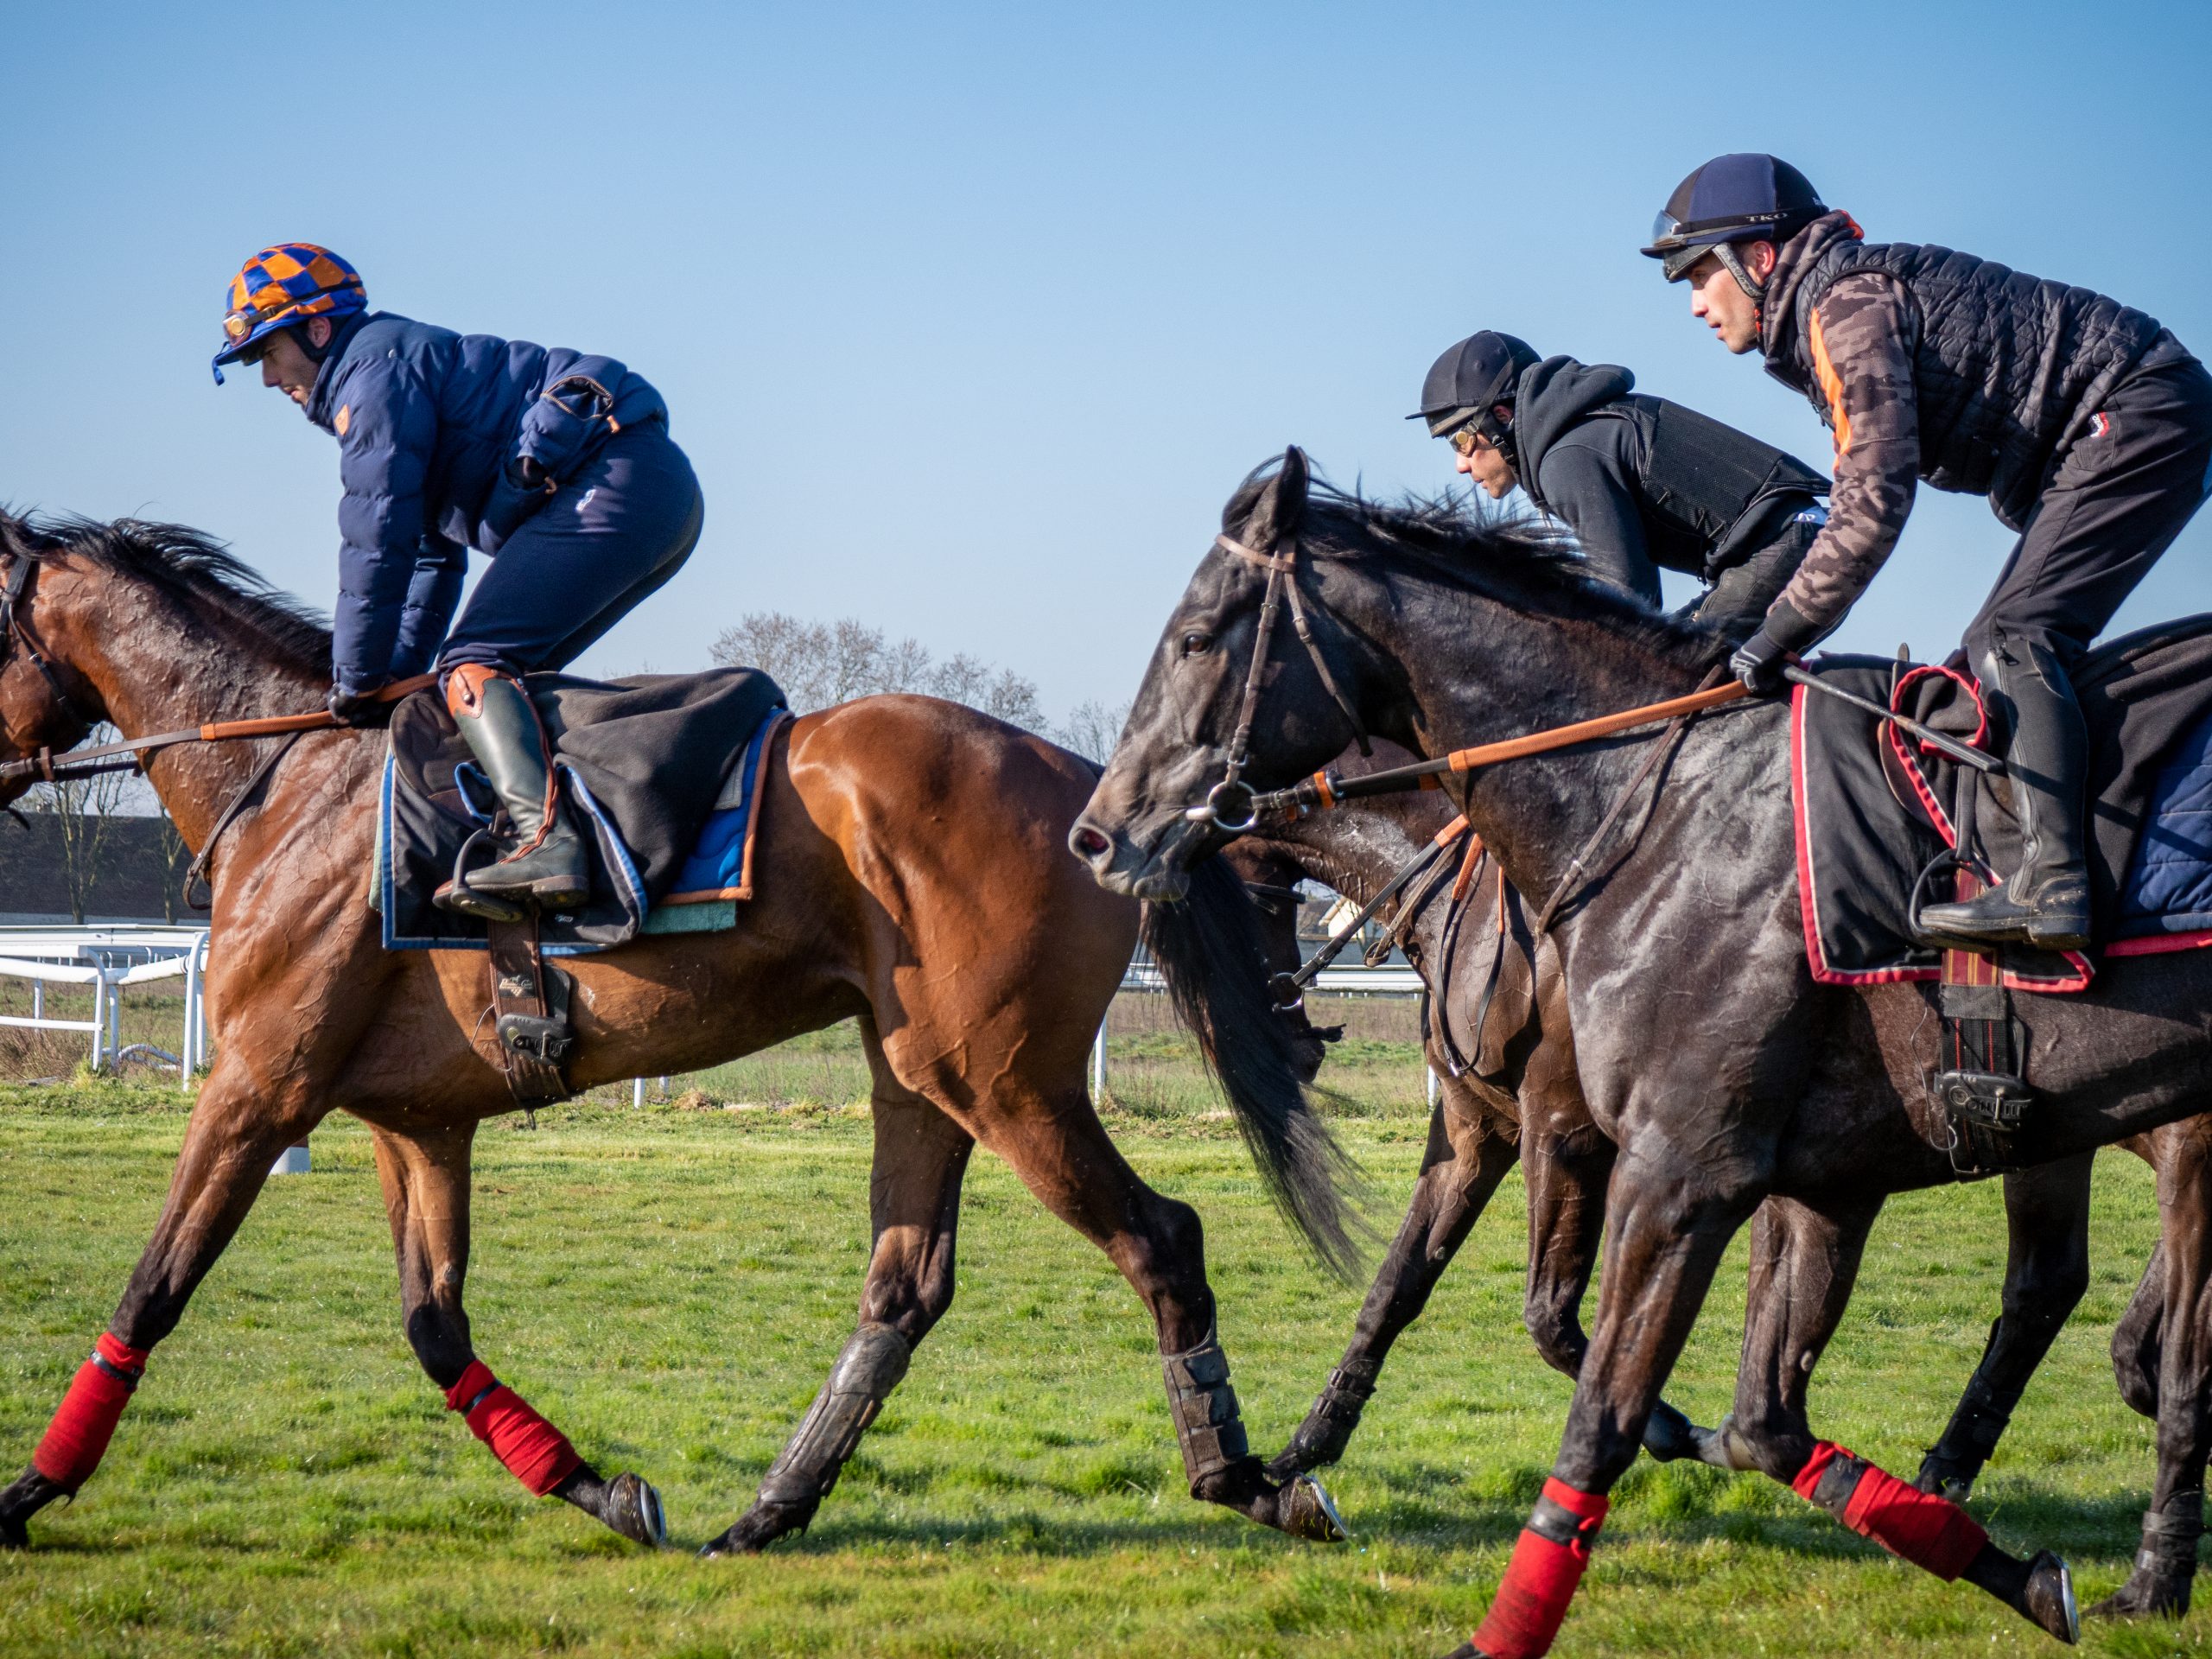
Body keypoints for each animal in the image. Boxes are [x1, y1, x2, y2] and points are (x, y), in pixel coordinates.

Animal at [0, 511, 1344, 1557]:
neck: (286, 781)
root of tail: (1093, 789)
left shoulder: (261, 1085)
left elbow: (153, 1288)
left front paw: (27, 1493)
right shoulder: (415, 1121)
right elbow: (435, 1326)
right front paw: (600, 1490)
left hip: (1009, 1080)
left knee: (1158, 1237)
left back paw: (1248, 1480)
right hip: (922, 1073)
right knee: (904, 1285)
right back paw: (769, 1510)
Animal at [1071, 448, 2212, 1654]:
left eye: (1197, 638)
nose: (1099, 834)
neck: (1627, 816)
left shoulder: (1633, 1150)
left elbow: (1578, 1362)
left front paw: (1650, 1445)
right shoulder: (1514, 1130)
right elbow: (1410, 1292)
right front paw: (1292, 1466)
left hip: (2173, 1137)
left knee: (2142, 1335)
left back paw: (2147, 1564)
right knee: (2062, 1298)